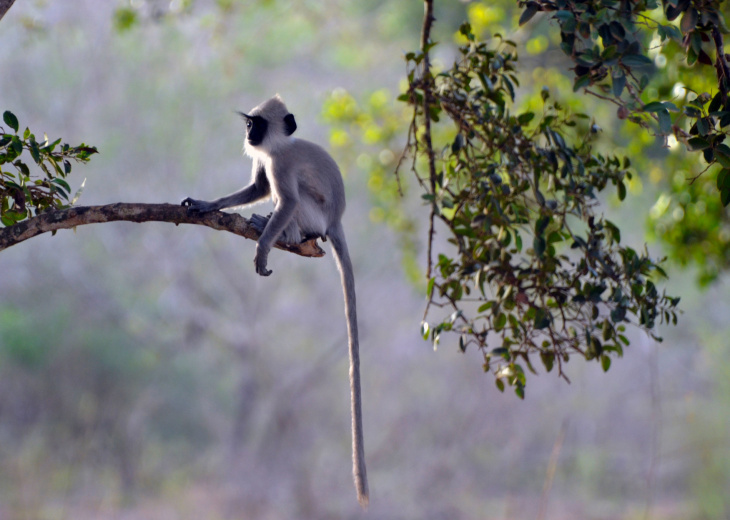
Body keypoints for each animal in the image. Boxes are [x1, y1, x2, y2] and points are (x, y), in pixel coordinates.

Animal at [179, 94, 366, 508]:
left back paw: (284, 232)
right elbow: (256, 188)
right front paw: (205, 203)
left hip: (314, 215)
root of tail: (336, 221)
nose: (249, 133)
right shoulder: (266, 161)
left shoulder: (281, 164)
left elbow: (285, 196)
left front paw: (262, 249)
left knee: (292, 203)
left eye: (258, 124)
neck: (281, 145)